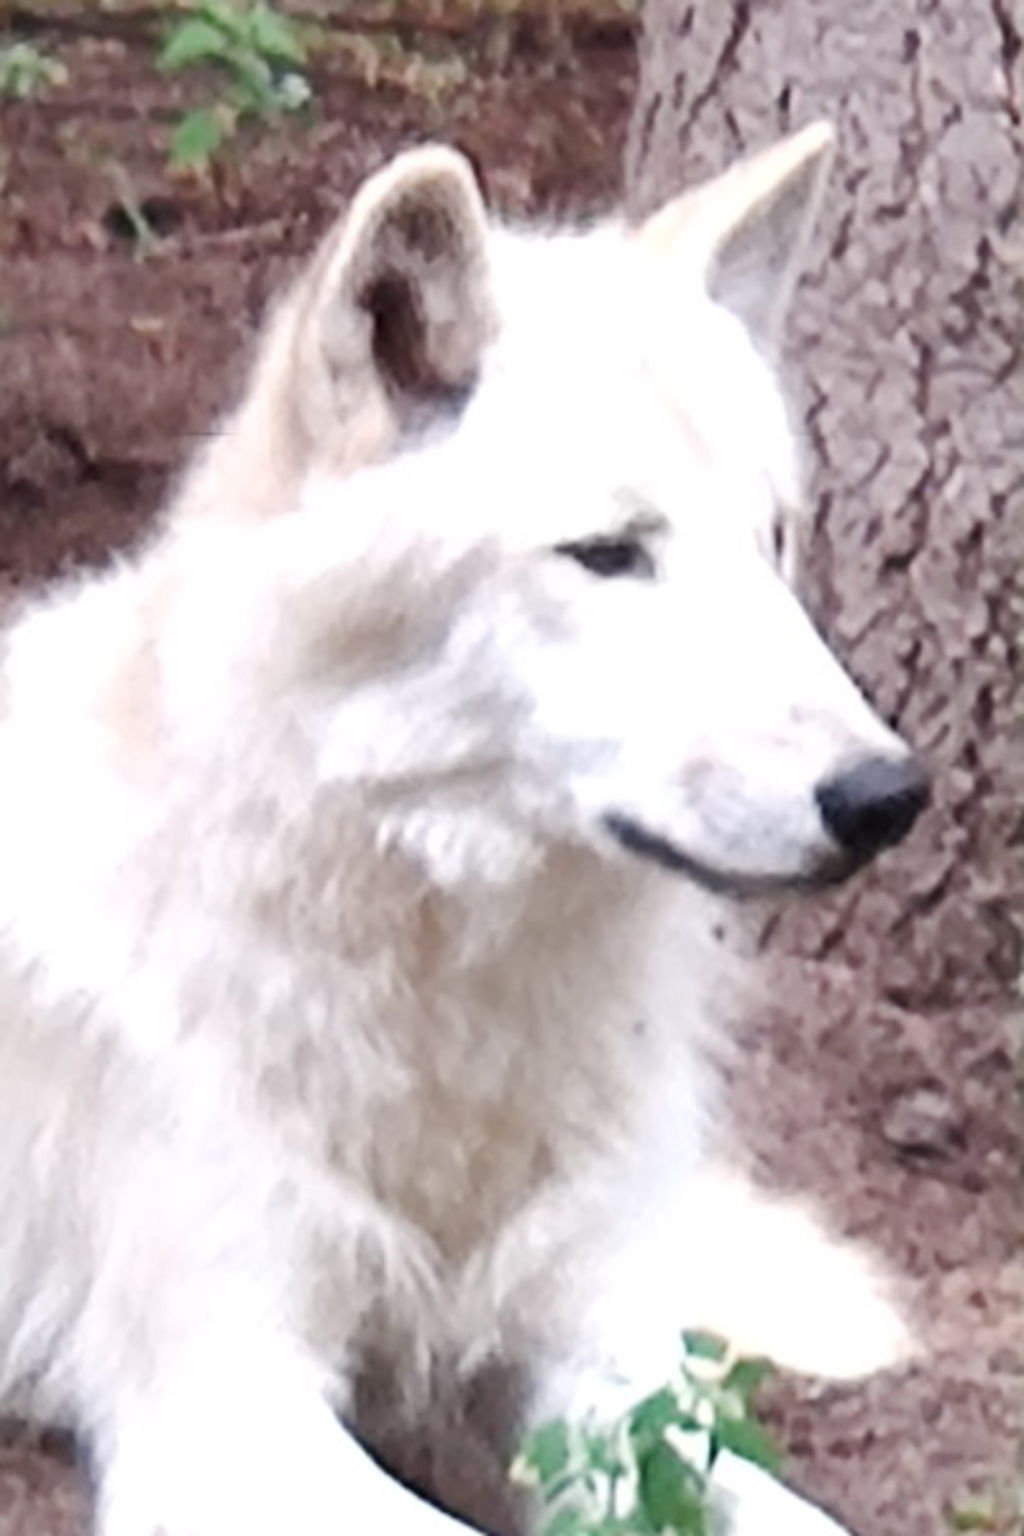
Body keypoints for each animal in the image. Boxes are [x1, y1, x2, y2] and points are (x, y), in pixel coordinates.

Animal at [0, 124, 928, 1536]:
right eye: (606, 554)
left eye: (772, 538)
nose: (885, 796)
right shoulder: (230, 1411)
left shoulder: (603, 1363)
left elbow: (791, 1511)